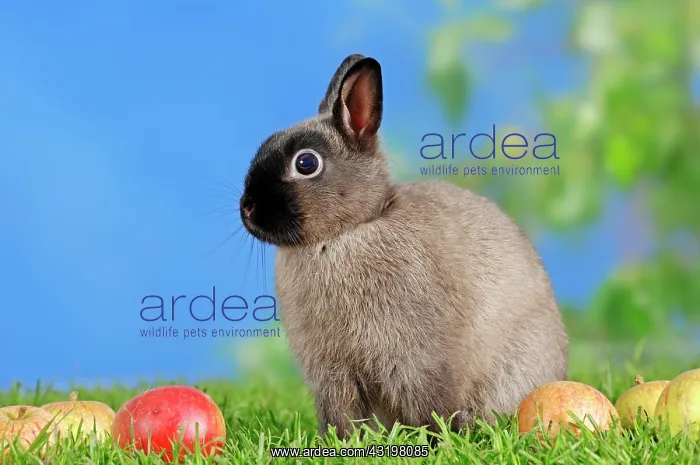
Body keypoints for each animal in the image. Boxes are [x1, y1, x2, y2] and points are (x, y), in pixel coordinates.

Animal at [239, 53, 569, 439]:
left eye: (306, 163)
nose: (247, 207)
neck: (346, 233)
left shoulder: (416, 360)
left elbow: (431, 405)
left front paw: (436, 441)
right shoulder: (333, 374)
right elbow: (341, 414)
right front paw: (340, 443)